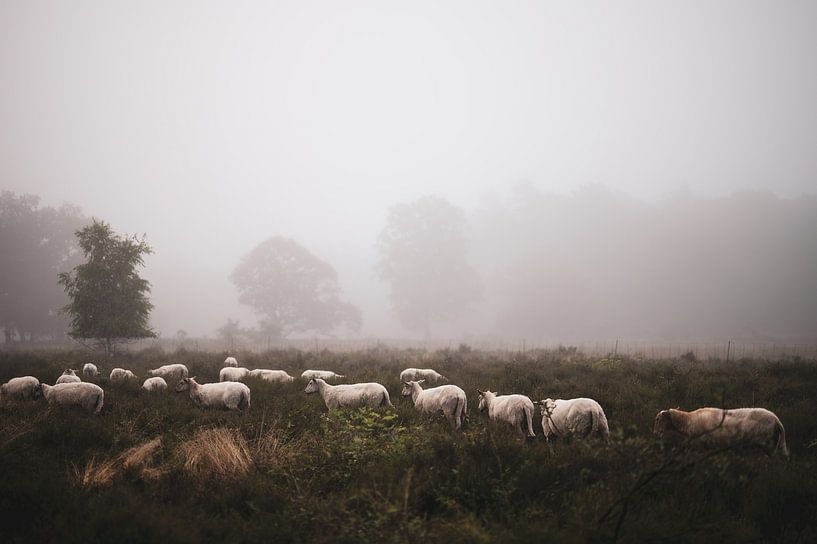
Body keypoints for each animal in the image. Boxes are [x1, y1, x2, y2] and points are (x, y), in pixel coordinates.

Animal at [652, 406, 792, 456]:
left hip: (766, 444)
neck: (689, 420)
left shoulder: (701, 446)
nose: (655, 433)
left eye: (658, 419)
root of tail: (777, 421)